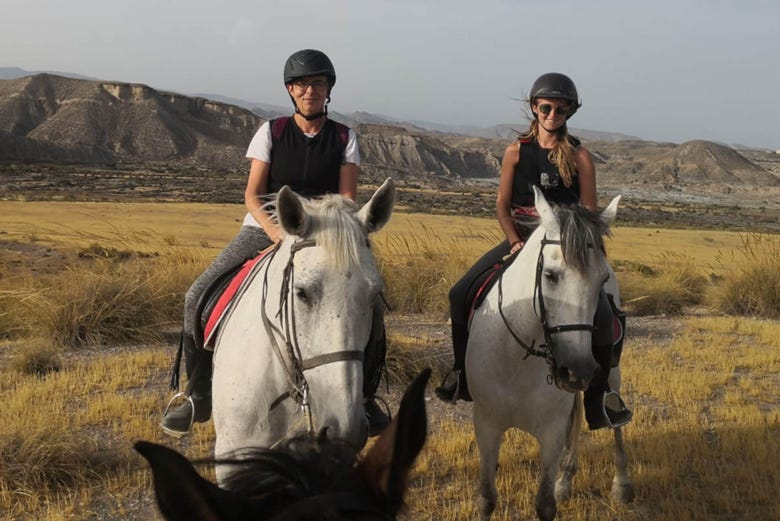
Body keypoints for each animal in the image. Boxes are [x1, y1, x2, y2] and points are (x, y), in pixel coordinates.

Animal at [466, 188, 632, 520]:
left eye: (600, 280)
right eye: (551, 276)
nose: (578, 370)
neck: (517, 360)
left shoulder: (551, 432)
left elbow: (544, 504)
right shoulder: (486, 424)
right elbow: (486, 498)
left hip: (611, 375)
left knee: (612, 415)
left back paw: (620, 484)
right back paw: (566, 479)